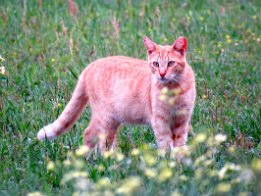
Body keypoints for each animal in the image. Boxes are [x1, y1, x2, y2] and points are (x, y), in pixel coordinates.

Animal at [37, 36, 195, 154]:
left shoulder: (182, 121)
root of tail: (91, 65)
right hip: (106, 117)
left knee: (94, 137)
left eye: (171, 64)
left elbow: (179, 144)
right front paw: (167, 162)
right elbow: (165, 143)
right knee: (96, 138)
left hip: (110, 120)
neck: (173, 90)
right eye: (155, 64)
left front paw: (180, 162)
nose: (162, 74)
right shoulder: (160, 120)